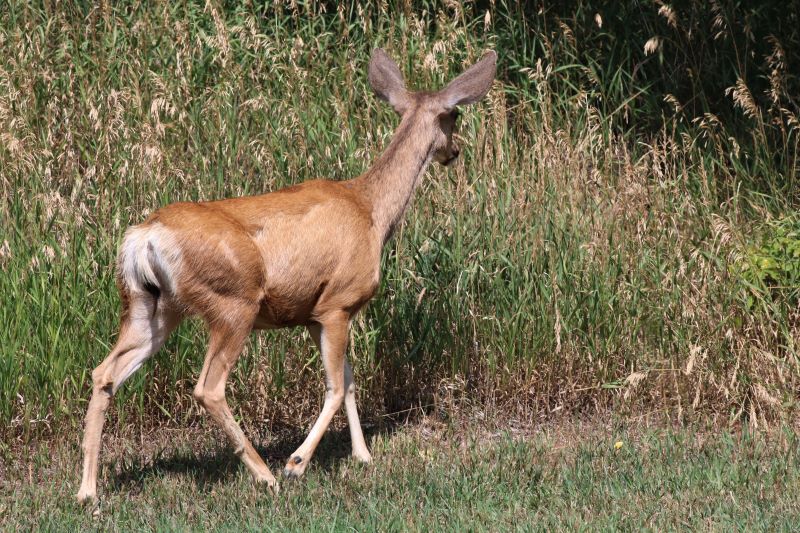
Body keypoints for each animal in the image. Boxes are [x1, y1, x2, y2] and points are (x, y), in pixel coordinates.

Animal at [76, 47, 496, 503]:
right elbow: (335, 387)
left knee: (104, 372)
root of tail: (144, 237)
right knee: (208, 387)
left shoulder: (312, 314)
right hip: (233, 304)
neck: (372, 210)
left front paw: (363, 456)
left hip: (150, 306)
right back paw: (266, 475)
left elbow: (348, 380)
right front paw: (297, 462)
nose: (455, 152)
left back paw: (88, 491)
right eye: (454, 115)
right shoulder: (337, 303)